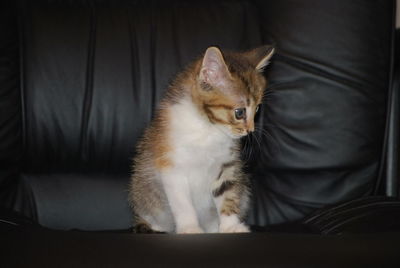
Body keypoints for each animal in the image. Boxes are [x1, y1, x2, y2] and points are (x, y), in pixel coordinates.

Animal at [130, 45, 274, 233]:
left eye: (257, 109)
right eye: (239, 112)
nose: (250, 130)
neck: (208, 128)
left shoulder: (226, 164)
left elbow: (227, 194)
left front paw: (230, 226)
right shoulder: (171, 166)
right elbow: (182, 203)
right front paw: (190, 228)